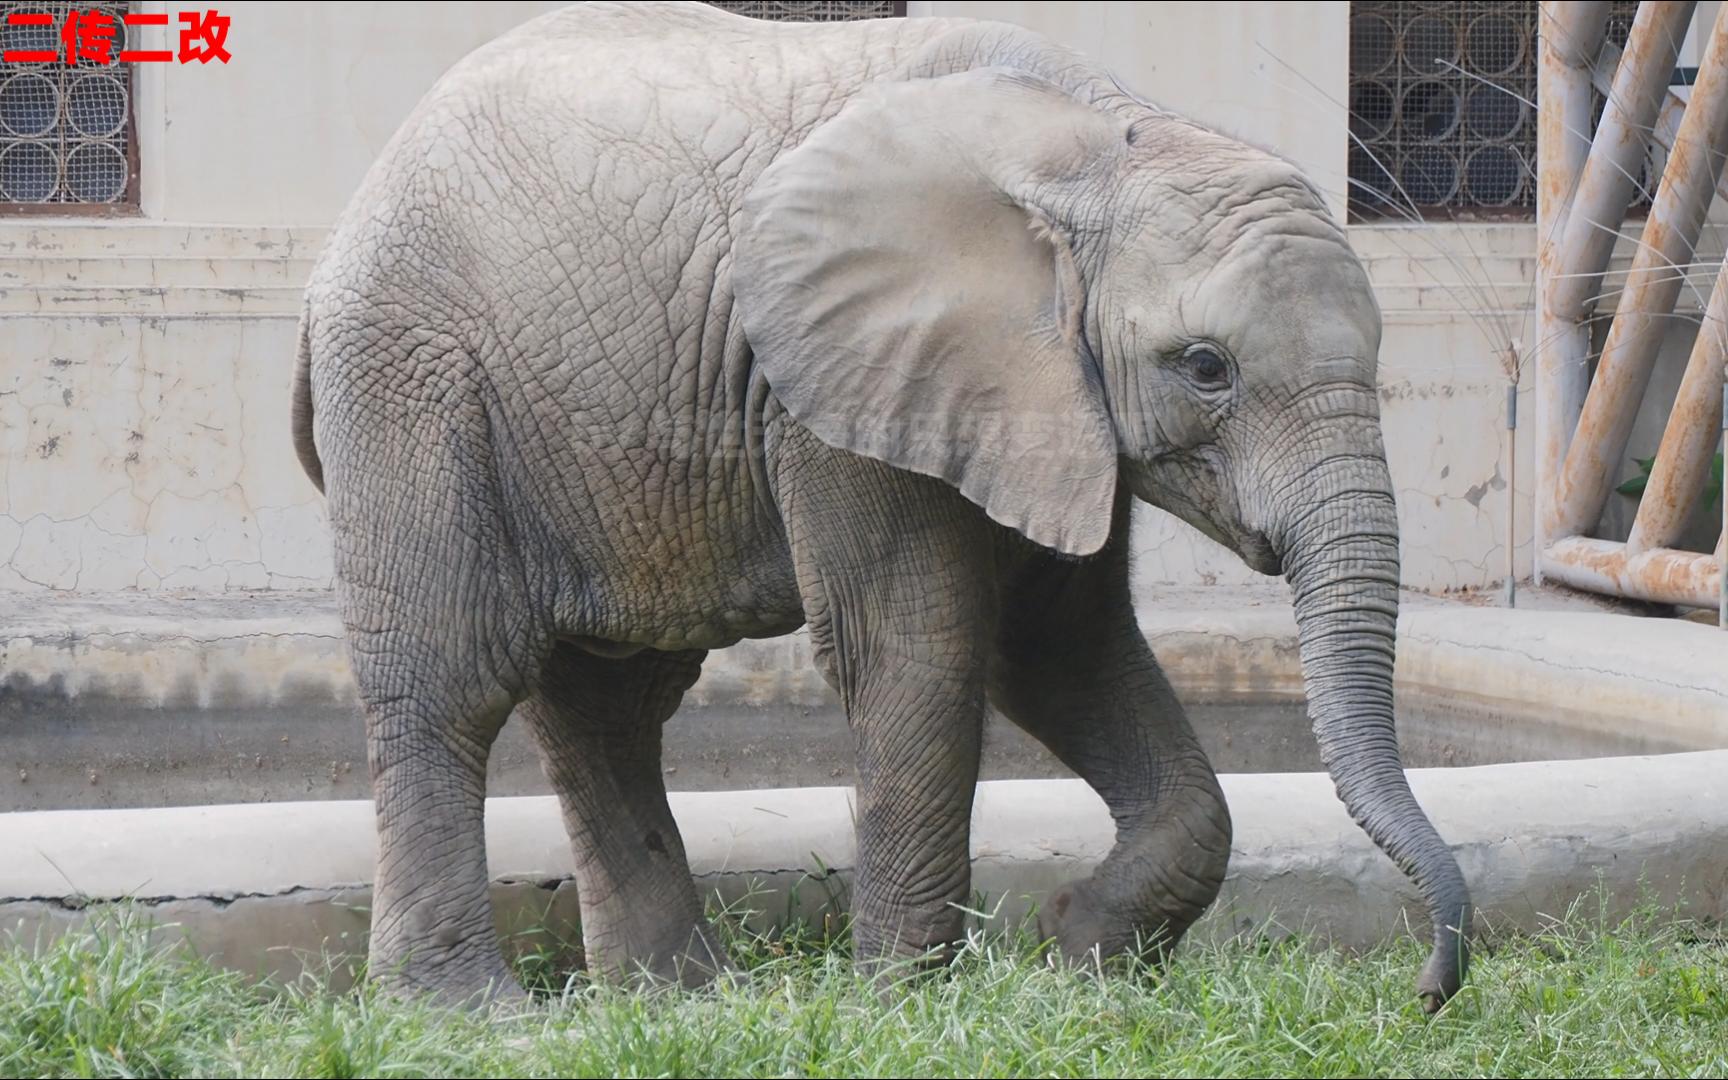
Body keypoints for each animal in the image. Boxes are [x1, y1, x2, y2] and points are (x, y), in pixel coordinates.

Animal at [290, 0, 1471, 1012]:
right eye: (1207, 368)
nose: (1425, 991)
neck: (1100, 139)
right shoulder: (837, 386)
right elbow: (918, 647)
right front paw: (911, 1001)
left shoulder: (1034, 399)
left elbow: (1060, 645)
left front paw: (1075, 954)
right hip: (413, 378)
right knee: (455, 680)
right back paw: (470, 1014)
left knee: (606, 701)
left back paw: (676, 998)